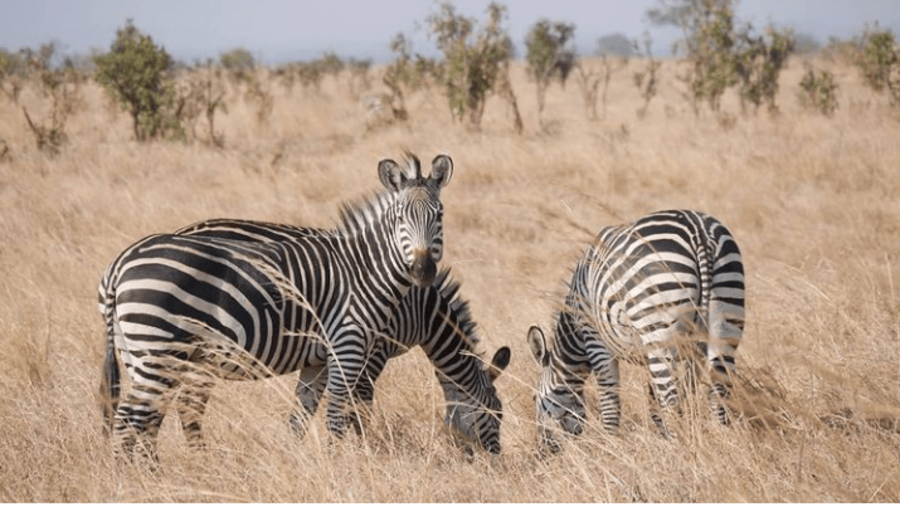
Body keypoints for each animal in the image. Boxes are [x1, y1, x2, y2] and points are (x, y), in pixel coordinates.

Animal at [98, 153, 453, 460]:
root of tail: (121, 263)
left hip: (139, 353)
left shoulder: (318, 360)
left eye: (439, 215)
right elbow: (339, 413)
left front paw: (303, 461)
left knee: (146, 419)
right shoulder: (347, 346)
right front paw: (341, 464)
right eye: (400, 218)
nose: (423, 271)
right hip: (158, 349)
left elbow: (302, 413)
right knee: (129, 419)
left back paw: (156, 476)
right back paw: (133, 481)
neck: (363, 269)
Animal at [174, 218, 511, 454]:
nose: (495, 460)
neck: (422, 310)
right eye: (497, 414)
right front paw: (366, 452)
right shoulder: (373, 347)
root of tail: (187, 228)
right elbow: (359, 405)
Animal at [527, 209, 745, 449]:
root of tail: (698, 233)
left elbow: (610, 403)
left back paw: (681, 446)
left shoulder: (596, 340)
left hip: (659, 326)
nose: (542, 451)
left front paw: (611, 447)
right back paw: (723, 441)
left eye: (535, 399)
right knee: (718, 393)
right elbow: (653, 402)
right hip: (725, 316)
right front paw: (662, 438)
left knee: (672, 401)